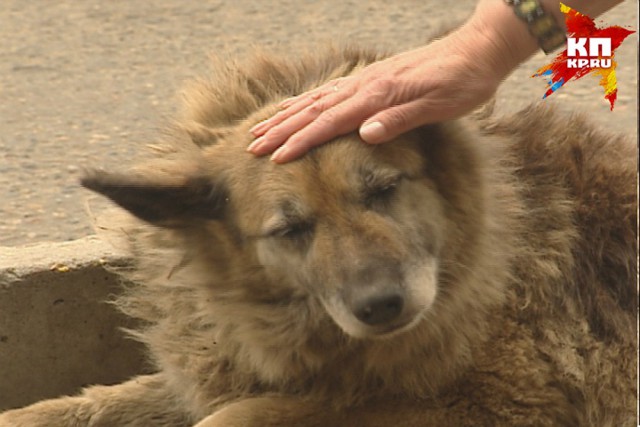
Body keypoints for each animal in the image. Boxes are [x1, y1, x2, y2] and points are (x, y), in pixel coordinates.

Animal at [2, 46, 636, 427]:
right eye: (291, 228)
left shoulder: (488, 403)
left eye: (383, 191)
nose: (381, 306)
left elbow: (236, 416)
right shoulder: (221, 371)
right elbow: (96, 402)